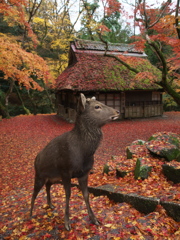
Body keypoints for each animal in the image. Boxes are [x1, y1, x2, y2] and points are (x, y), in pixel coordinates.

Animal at [29, 93, 119, 230]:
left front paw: (94, 219)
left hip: (53, 177)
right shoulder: (66, 171)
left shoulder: (84, 173)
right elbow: (68, 194)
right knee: (34, 193)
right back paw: (29, 215)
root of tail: (36, 158)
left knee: (48, 185)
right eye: (97, 106)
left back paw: (50, 204)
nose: (117, 111)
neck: (83, 153)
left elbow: (86, 195)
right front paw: (67, 223)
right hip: (39, 174)